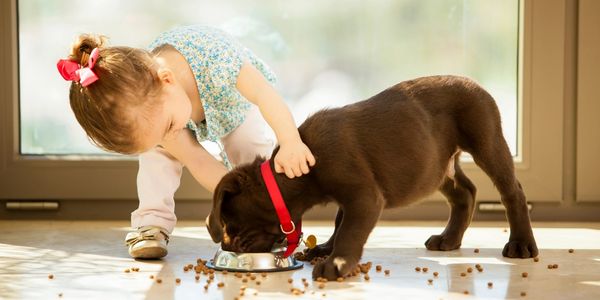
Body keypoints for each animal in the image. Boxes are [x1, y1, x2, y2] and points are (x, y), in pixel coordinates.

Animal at [206, 75, 540, 282]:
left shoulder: (363, 195)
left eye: (231, 224)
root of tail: (475, 83)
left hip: (486, 140)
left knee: (512, 191)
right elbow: (340, 222)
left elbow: (350, 230)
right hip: (435, 166)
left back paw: (521, 244)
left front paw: (336, 263)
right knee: (465, 192)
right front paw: (325, 249)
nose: (229, 246)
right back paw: (449, 239)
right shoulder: (351, 197)